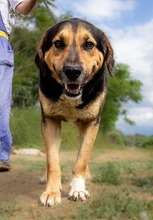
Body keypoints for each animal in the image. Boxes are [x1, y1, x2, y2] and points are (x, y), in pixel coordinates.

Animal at [34, 17, 113, 206]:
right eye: (58, 43)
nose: (72, 71)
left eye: (89, 45)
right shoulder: (50, 121)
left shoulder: (91, 123)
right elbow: (52, 161)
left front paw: (78, 189)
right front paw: (51, 191)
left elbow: (82, 159)